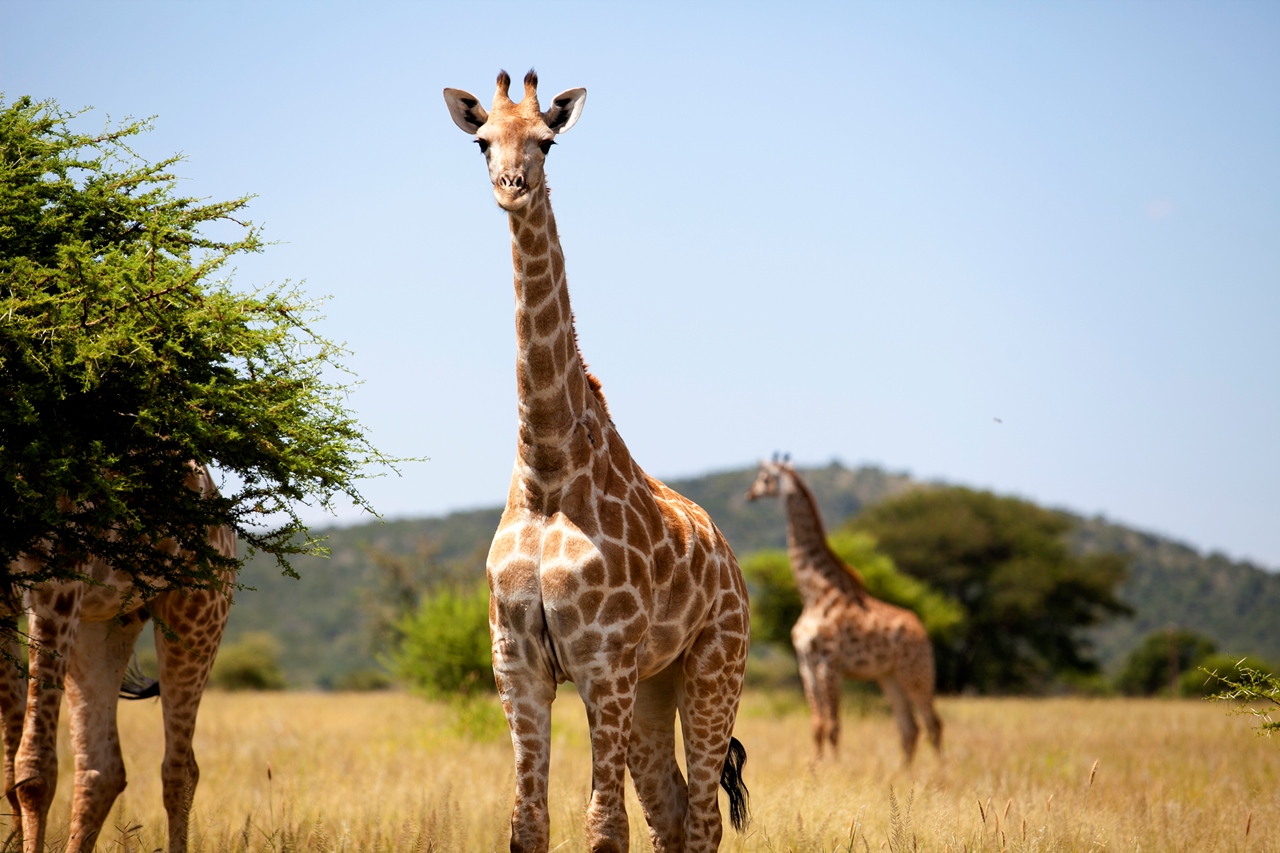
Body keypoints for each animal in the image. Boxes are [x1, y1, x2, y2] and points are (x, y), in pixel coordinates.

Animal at [1, 461, 236, 850]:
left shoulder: (56, 580)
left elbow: (34, 771)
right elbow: (10, 775)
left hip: (199, 608)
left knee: (180, 769)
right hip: (100, 625)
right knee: (102, 767)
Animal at [742, 458, 942, 763]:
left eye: (764, 477)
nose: (750, 493)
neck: (814, 594)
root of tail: (922, 631)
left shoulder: (829, 663)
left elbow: (834, 724)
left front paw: (834, 768)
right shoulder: (806, 663)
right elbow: (817, 724)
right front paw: (814, 767)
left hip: (916, 672)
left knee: (933, 724)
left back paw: (941, 772)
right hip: (889, 676)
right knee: (910, 728)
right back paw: (904, 772)